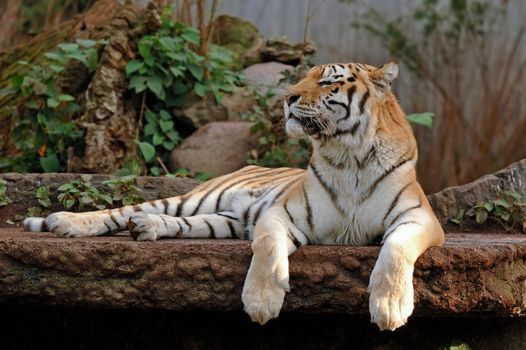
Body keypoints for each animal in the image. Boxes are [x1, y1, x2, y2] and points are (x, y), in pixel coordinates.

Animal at [24, 60, 446, 330]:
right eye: (302, 79)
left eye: (328, 82)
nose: (287, 98)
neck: (349, 156)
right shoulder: (281, 214)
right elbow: (268, 249)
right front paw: (261, 302)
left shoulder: (419, 218)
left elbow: (396, 250)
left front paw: (390, 307)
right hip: (199, 199)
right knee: (120, 210)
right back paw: (65, 222)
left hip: (221, 221)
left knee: (177, 223)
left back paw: (146, 227)